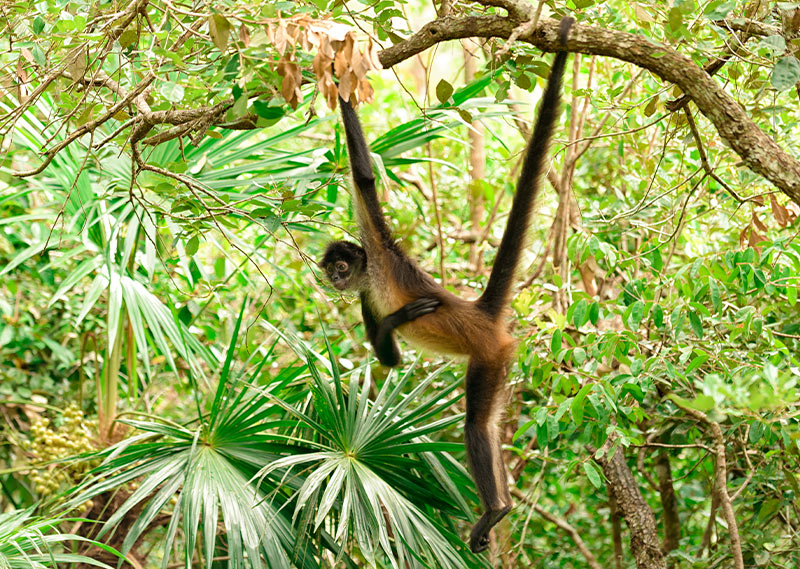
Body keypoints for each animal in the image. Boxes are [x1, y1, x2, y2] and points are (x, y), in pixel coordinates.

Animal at [320, 16, 576, 552]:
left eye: (342, 266)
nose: (334, 278)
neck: (369, 278)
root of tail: (480, 312)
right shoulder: (365, 297)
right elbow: (389, 359)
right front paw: (395, 325)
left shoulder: (378, 251)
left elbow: (364, 177)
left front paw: (335, 63)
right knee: (491, 422)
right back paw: (503, 504)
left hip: (490, 355)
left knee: (476, 423)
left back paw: (495, 509)